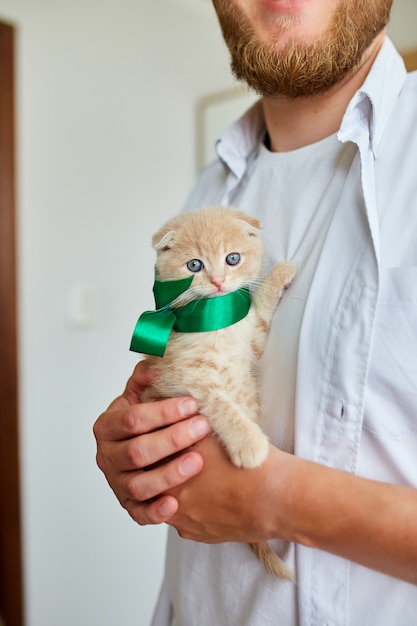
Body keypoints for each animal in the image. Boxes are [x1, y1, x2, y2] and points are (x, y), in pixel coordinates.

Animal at [135, 206, 294, 580]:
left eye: (232, 258)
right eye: (195, 265)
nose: (219, 281)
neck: (214, 322)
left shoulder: (252, 340)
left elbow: (260, 312)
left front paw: (279, 274)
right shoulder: (187, 379)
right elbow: (222, 404)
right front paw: (248, 442)